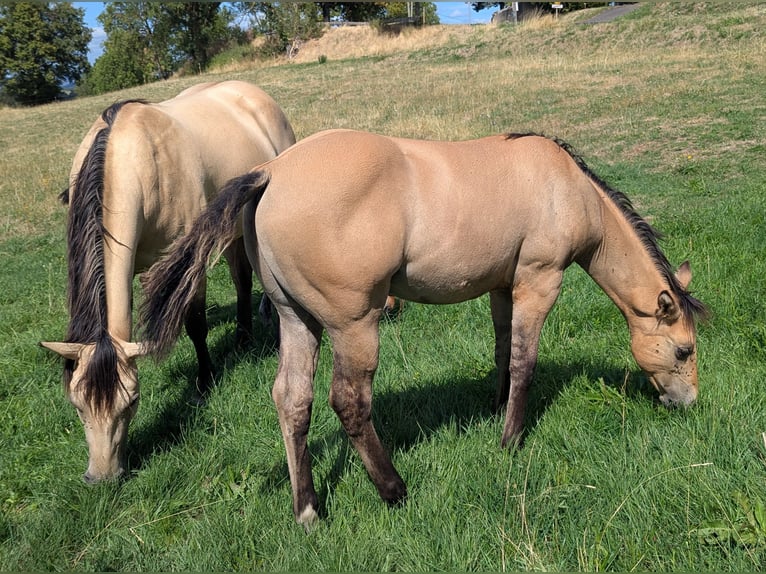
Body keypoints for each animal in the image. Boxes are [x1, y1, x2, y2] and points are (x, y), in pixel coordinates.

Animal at [40, 81, 296, 484]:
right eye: (77, 404)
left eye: (132, 402)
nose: (102, 478)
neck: (131, 160)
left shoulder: (187, 263)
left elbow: (196, 325)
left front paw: (204, 383)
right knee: (241, 278)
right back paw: (243, 338)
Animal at [138, 130, 708, 526]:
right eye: (683, 351)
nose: (687, 404)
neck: (567, 186)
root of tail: (271, 173)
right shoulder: (538, 283)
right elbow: (525, 362)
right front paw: (510, 440)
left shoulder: (502, 287)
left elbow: (503, 352)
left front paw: (496, 408)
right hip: (354, 326)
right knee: (349, 403)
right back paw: (394, 490)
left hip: (296, 321)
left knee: (292, 401)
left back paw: (308, 511)